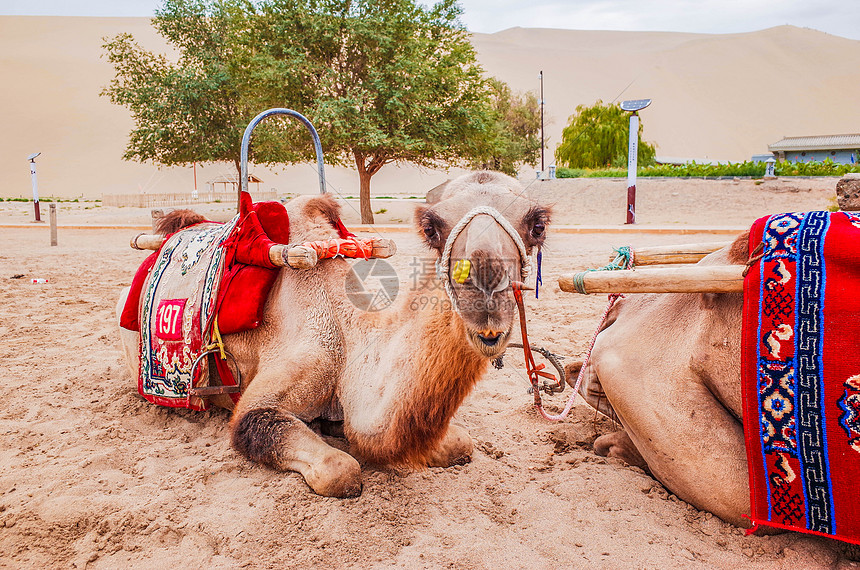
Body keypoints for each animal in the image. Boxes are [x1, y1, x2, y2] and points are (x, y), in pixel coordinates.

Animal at [119, 171, 552, 494]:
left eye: (537, 225)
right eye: (431, 227)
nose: (485, 289)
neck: (348, 340)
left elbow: (462, 443)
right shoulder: (268, 391)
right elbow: (339, 470)